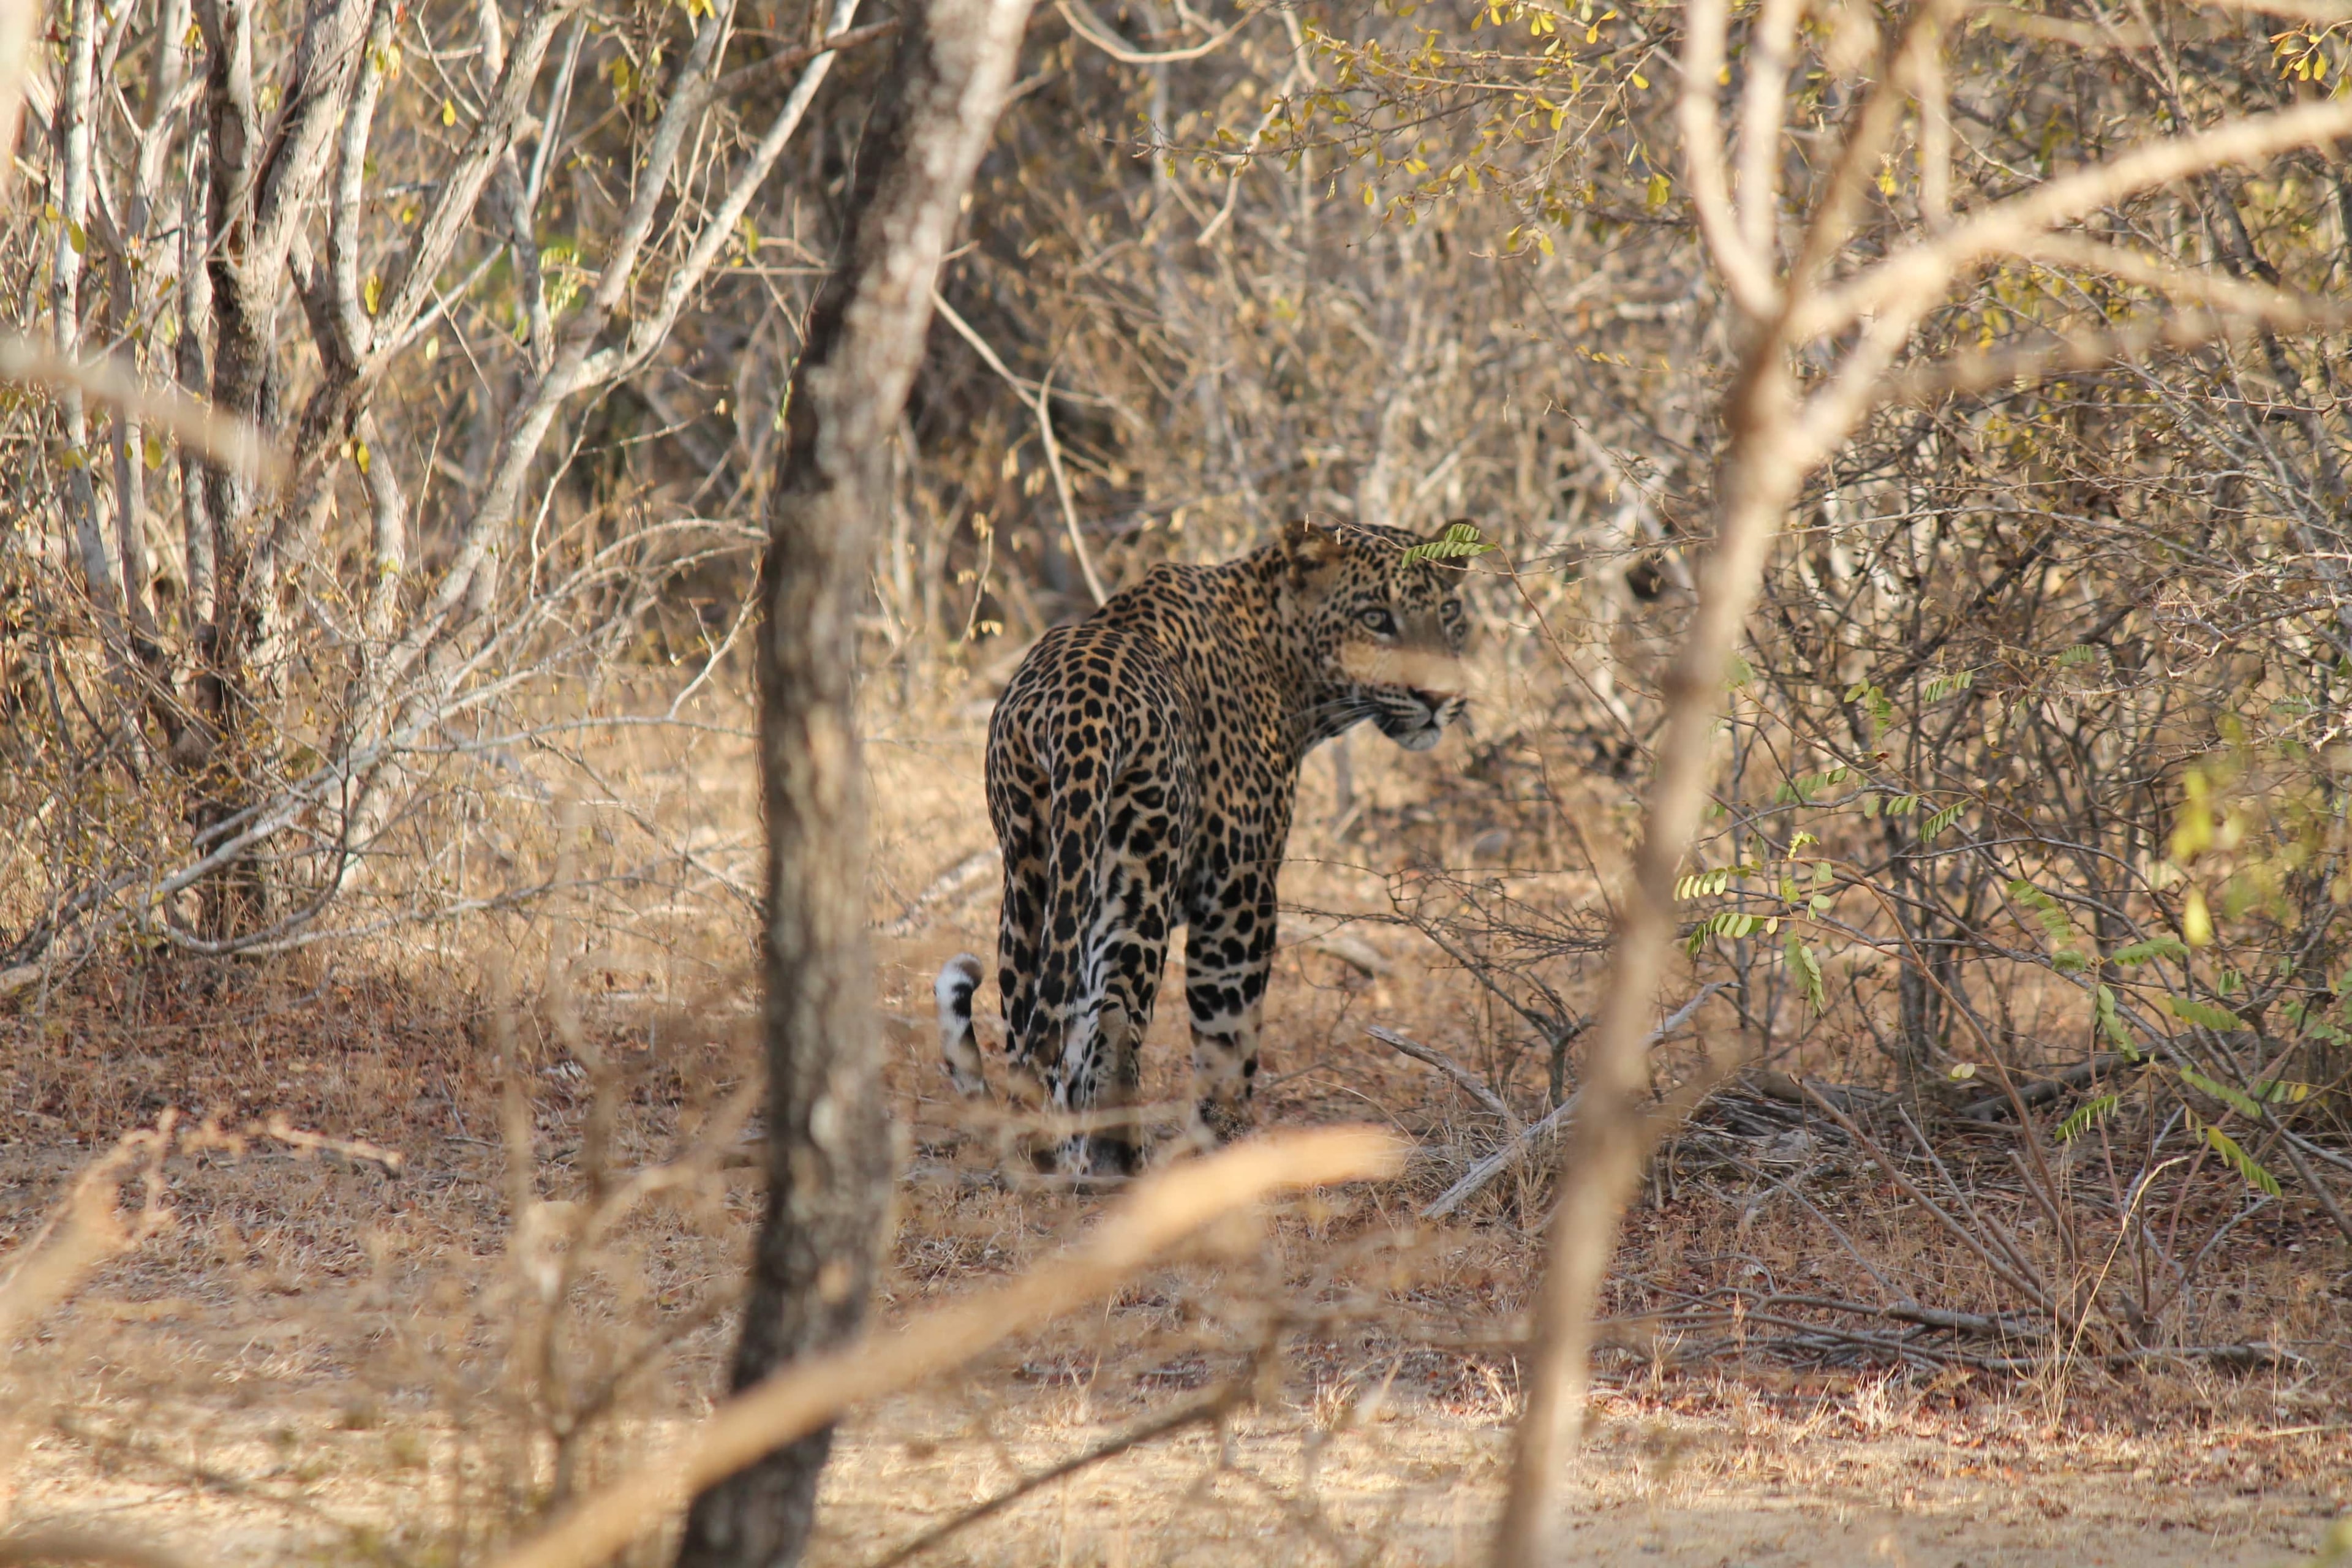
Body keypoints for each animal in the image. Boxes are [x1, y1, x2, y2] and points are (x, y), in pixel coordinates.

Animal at [936, 522, 1468, 1170]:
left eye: (1449, 613)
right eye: (1376, 618)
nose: (1438, 698)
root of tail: (1078, 708)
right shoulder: (1239, 895)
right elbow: (1228, 1042)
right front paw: (1225, 1144)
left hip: (1031, 877)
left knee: (1035, 1026)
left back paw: (1057, 1163)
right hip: (1139, 880)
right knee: (1113, 1021)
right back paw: (1116, 1163)